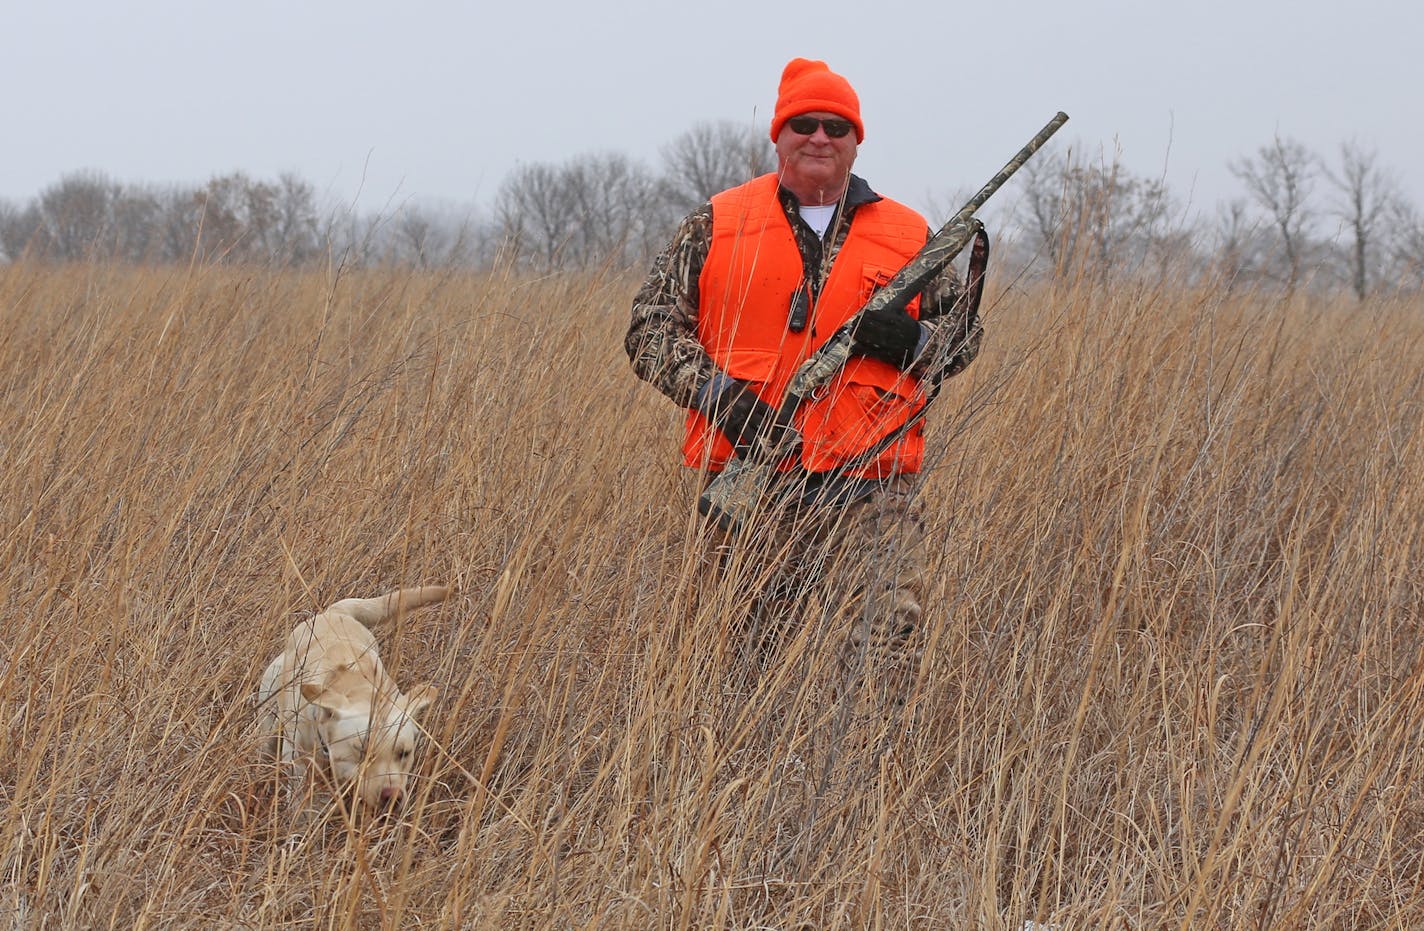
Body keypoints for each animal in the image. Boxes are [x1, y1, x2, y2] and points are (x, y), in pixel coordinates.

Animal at [260, 586, 449, 814]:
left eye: (404, 753)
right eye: (361, 751)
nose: (392, 796)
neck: (355, 685)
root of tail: (335, 612)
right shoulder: (301, 767)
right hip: (267, 727)